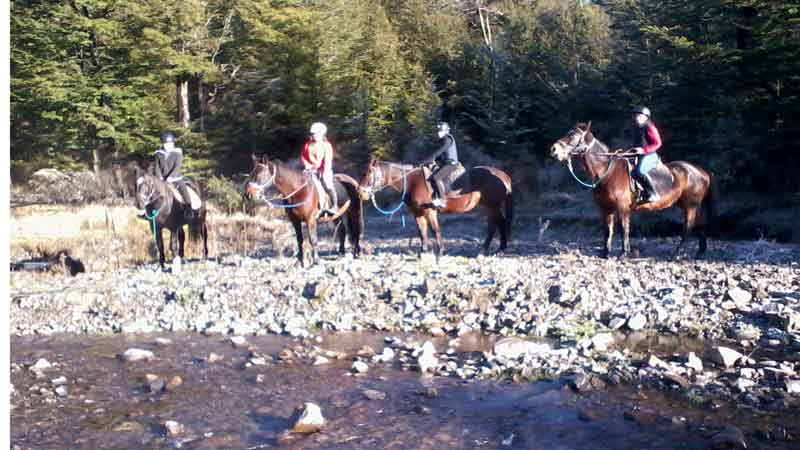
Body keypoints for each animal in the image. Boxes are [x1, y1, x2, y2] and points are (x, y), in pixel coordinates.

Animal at [356, 157, 512, 256]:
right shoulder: (417, 212)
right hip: (490, 206)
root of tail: (503, 175)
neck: (412, 182)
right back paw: (501, 247)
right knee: (500, 222)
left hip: (492, 206)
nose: (360, 192)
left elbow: (435, 230)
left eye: (368, 174)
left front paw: (441, 251)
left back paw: (486, 248)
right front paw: (423, 251)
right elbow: (422, 231)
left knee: (494, 225)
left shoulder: (429, 211)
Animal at [552, 121, 720, 258]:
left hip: (690, 205)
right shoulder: (605, 208)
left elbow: (624, 229)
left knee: (688, 228)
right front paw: (605, 253)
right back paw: (700, 252)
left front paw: (623, 253)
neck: (606, 171)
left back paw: (675, 253)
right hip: (686, 204)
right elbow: (607, 230)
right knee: (701, 223)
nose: (554, 149)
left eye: (573, 135)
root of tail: (702, 170)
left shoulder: (622, 208)